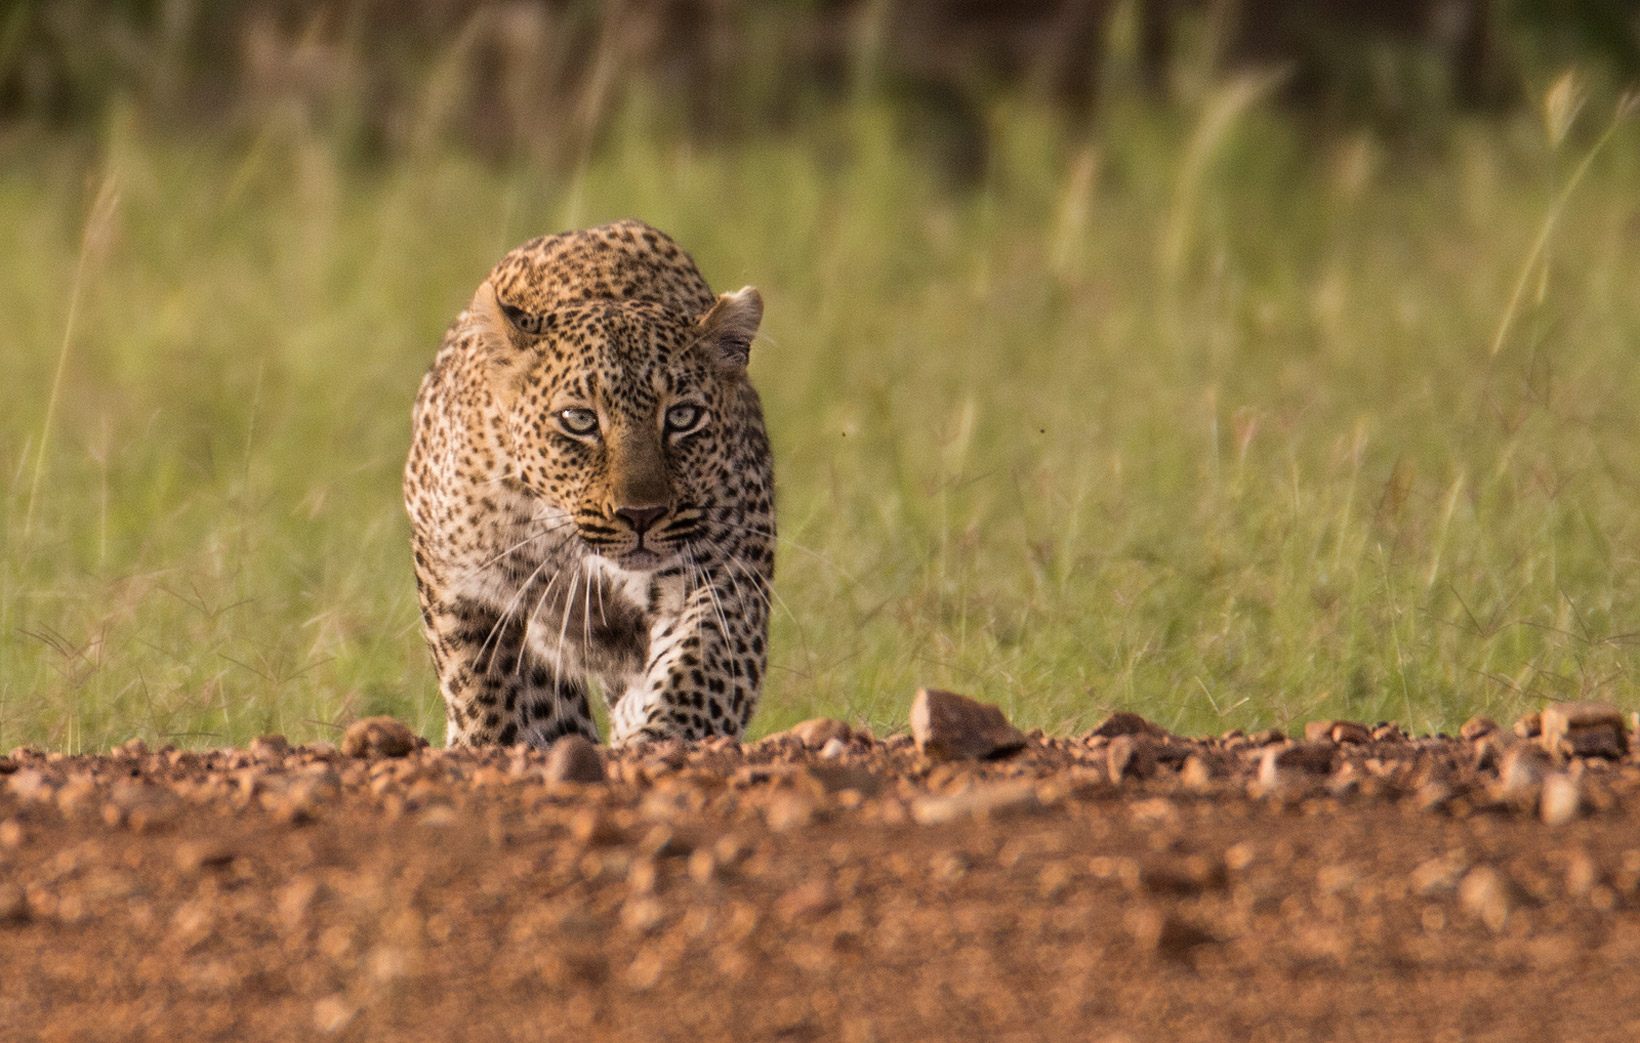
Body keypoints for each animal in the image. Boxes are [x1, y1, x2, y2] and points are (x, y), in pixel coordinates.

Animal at [403, 216, 774, 744]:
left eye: (682, 417)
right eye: (579, 419)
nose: (641, 515)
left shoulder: (726, 574)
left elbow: (699, 676)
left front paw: (655, 746)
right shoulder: (459, 581)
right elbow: (482, 688)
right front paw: (492, 746)